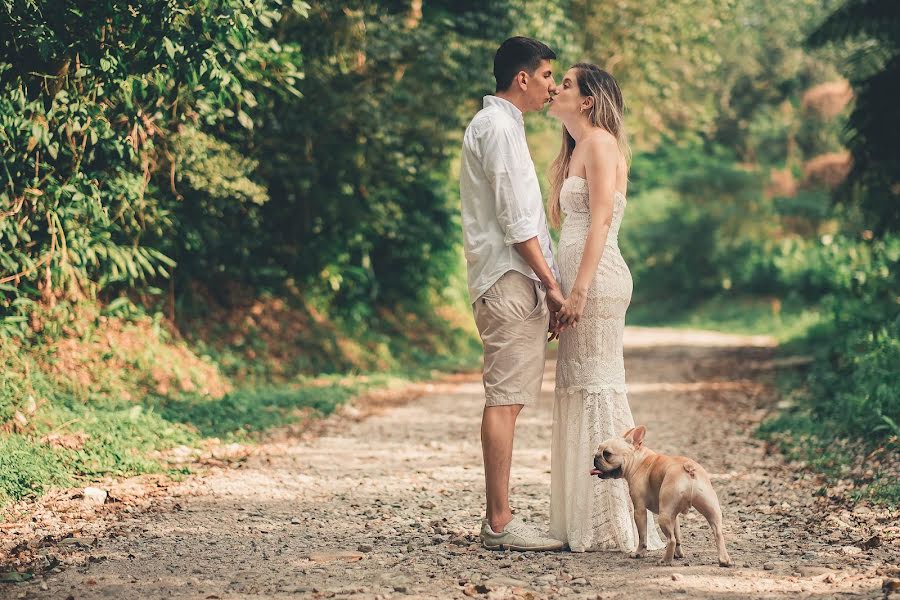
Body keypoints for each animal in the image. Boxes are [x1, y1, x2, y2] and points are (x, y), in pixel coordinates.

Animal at [592, 424, 732, 564]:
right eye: (598, 449)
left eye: (607, 454)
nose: (595, 456)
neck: (638, 460)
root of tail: (688, 467)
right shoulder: (674, 516)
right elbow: (678, 533)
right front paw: (678, 554)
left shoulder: (640, 510)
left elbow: (643, 537)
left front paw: (639, 553)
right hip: (708, 509)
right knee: (717, 533)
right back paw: (724, 560)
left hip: (663, 515)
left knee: (671, 540)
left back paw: (665, 561)